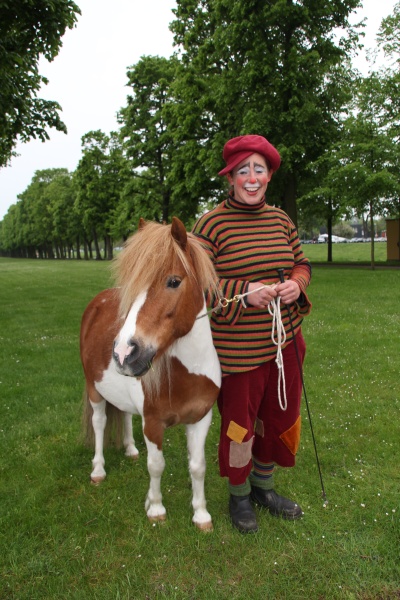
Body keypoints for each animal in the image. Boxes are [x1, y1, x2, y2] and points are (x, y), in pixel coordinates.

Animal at [79, 217, 220, 528]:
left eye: (173, 281)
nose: (123, 352)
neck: (187, 375)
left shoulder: (201, 419)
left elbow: (198, 467)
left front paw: (201, 514)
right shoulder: (153, 423)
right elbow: (156, 465)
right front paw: (155, 508)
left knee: (125, 414)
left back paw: (130, 449)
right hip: (94, 390)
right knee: (99, 422)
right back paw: (98, 470)